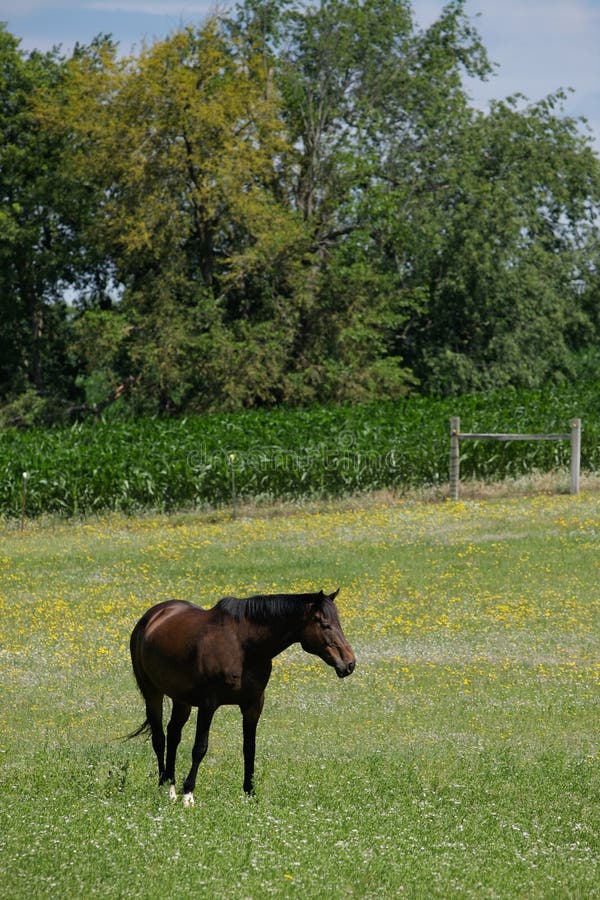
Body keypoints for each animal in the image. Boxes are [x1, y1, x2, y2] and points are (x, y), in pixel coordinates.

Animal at [126, 588, 352, 804]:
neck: (243, 645)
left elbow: (249, 748)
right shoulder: (208, 704)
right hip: (152, 693)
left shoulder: (253, 705)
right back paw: (164, 786)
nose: (349, 663)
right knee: (159, 739)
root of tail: (153, 616)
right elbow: (200, 747)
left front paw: (250, 793)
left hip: (181, 699)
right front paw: (188, 794)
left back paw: (171, 786)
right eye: (324, 624)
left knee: (173, 734)